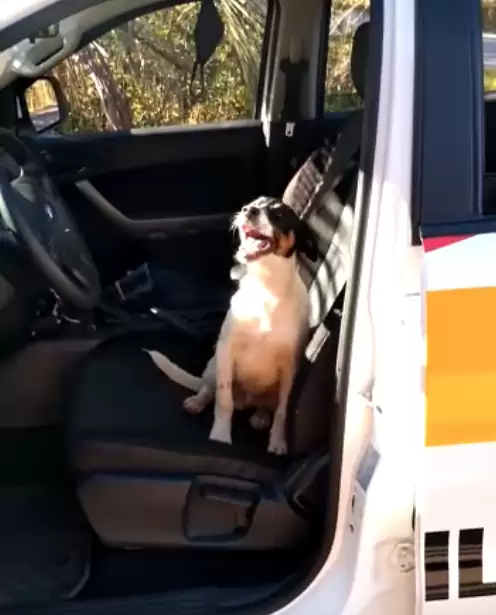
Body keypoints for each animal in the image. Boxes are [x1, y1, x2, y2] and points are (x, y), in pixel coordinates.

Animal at [145, 197, 316, 458]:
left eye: (278, 214)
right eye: (255, 202)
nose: (248, 210)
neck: (265, 287)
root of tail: (248, 401)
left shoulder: (291, 367)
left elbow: (283, 411)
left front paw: (278, 442)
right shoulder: (227, 350)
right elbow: (224, 400)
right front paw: (220, 436)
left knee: (268, 406)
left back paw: (260, 417)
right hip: (214, 364)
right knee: (208, 389)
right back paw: (197, 402)